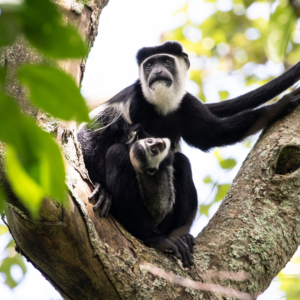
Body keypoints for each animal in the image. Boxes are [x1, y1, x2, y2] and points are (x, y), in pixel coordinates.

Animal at [104, 124, 198, 268]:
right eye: (153, 150)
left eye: (150, 142)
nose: (159, 142)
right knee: (116, 154)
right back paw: (154, 239)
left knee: (182, 163)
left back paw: (184, 238)